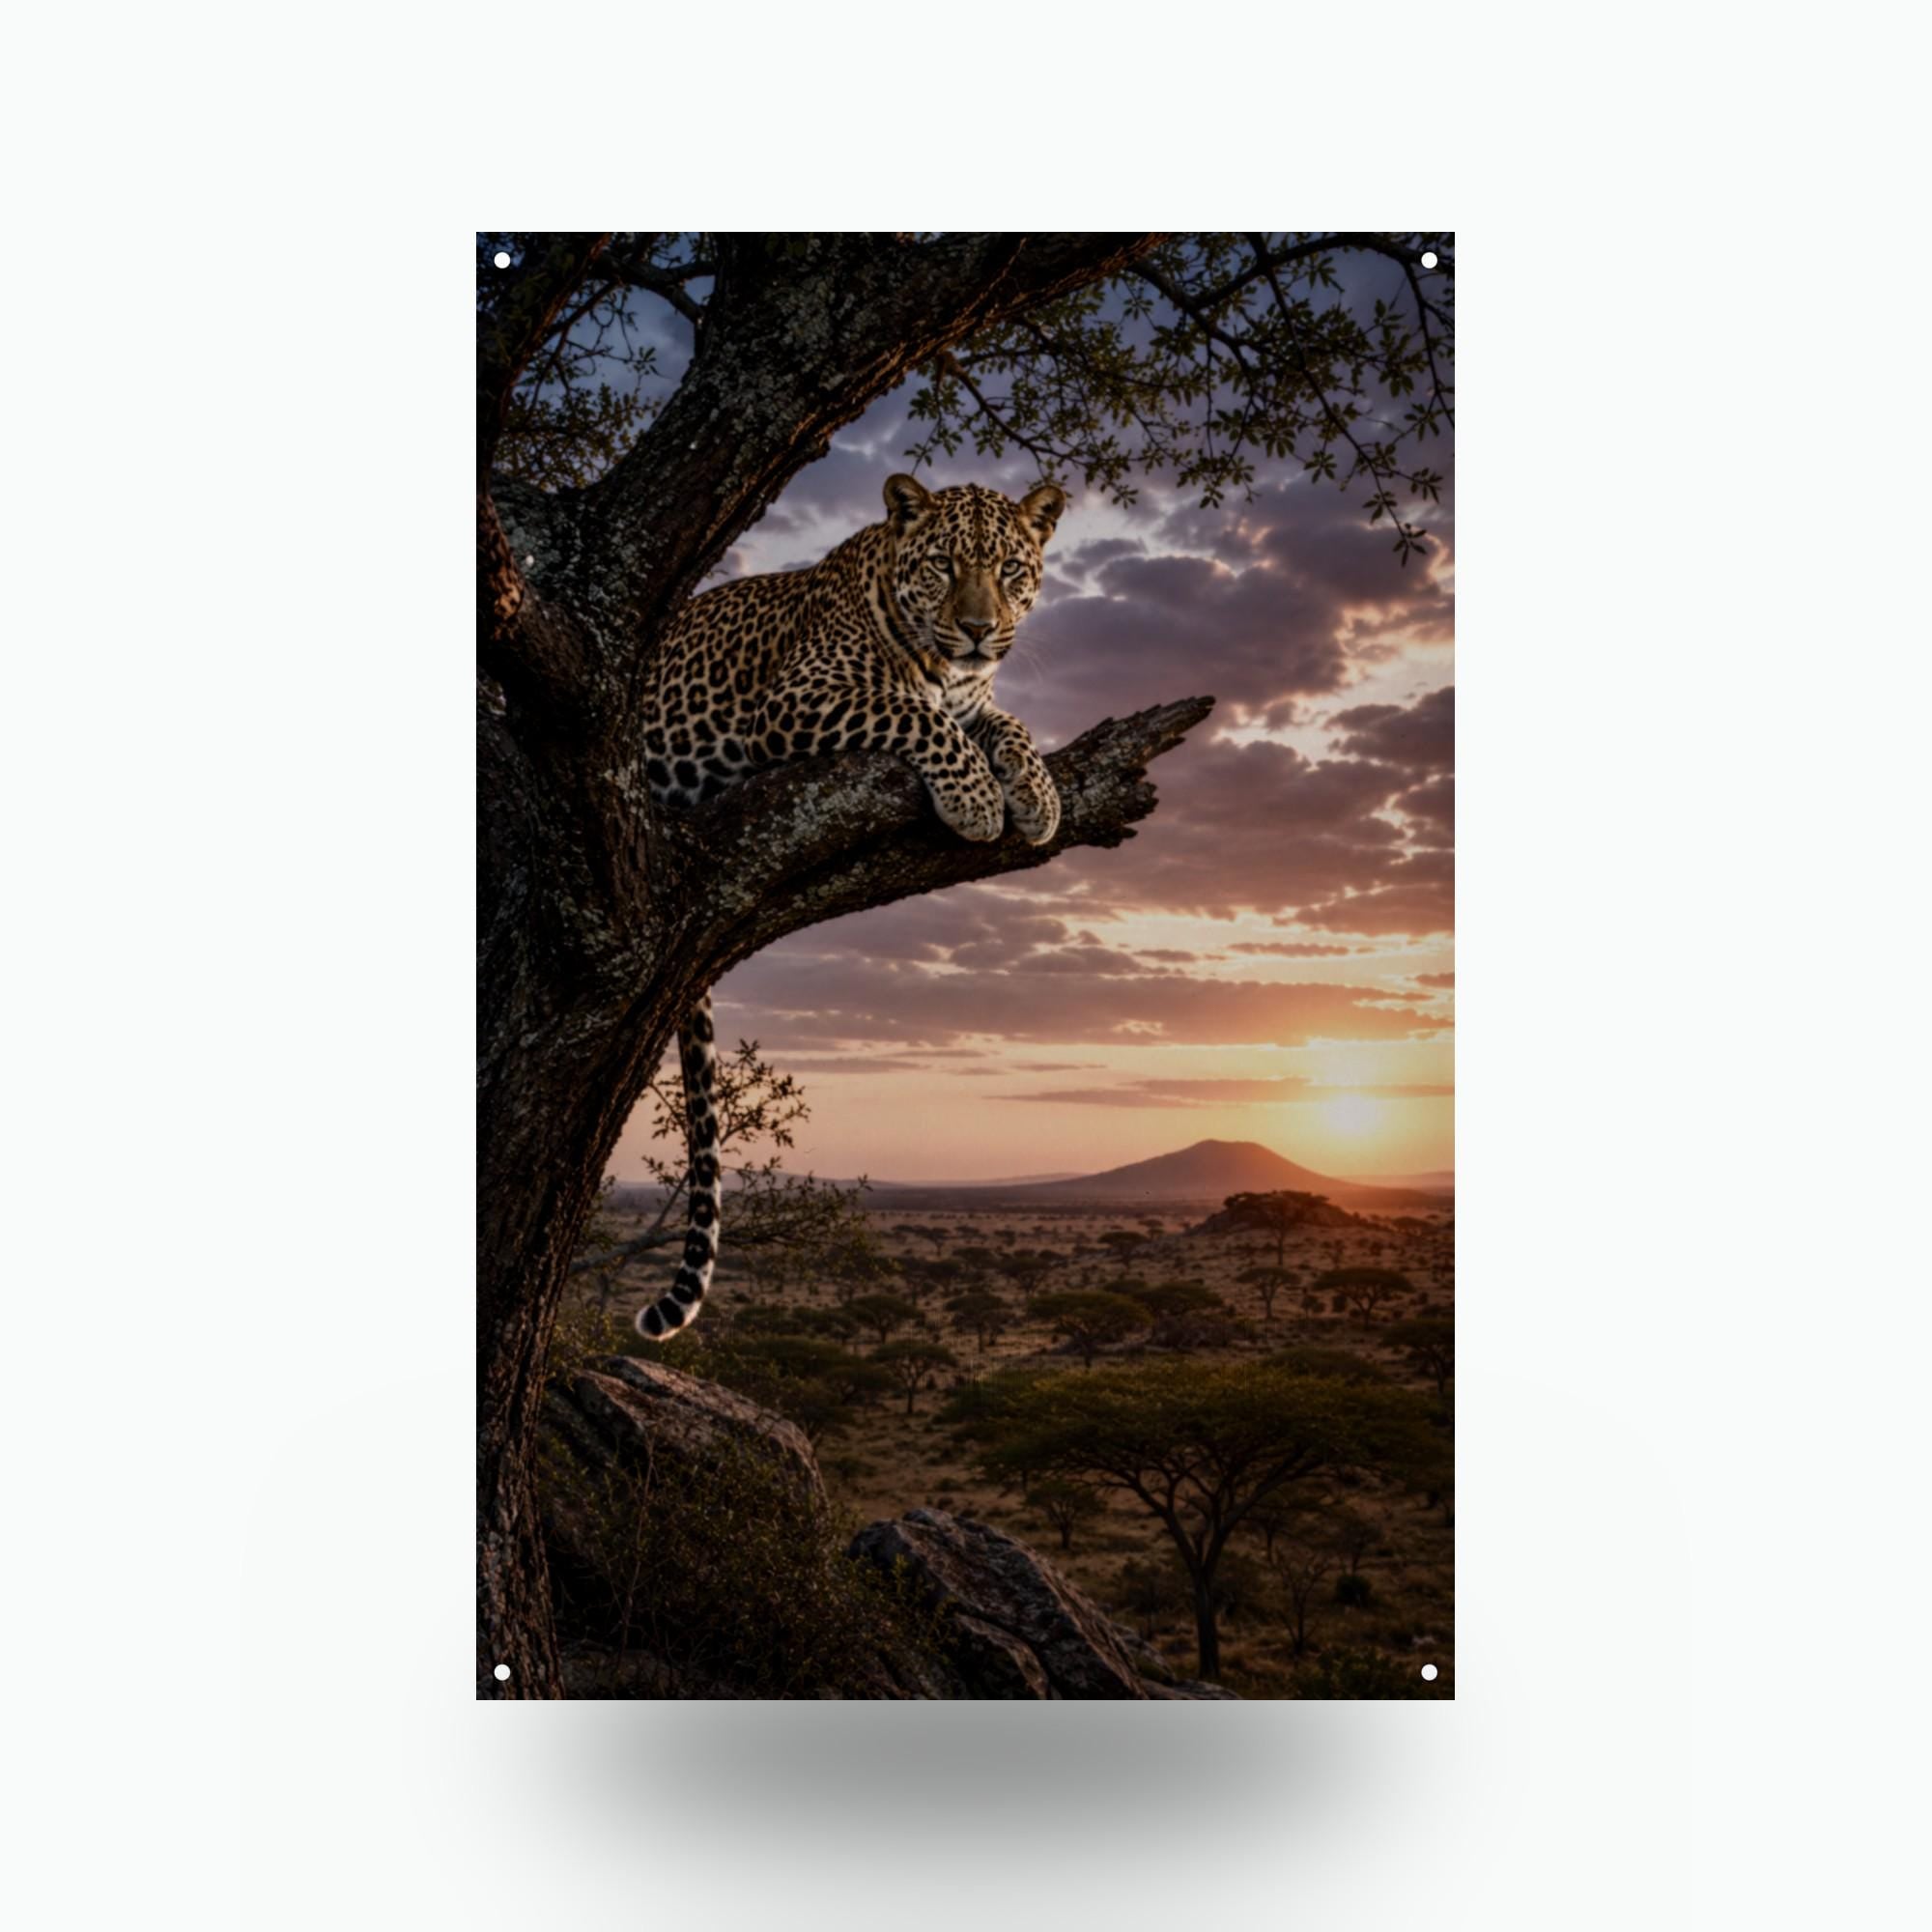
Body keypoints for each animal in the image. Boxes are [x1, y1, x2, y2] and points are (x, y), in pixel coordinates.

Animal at [633, 474, 1068, 1341]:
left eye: (1010, 569)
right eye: (943, 565)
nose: (979, 630)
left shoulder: (979, 700)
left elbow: (1010, 722)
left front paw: (1038, 797)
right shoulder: (801, 700)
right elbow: (916, 714)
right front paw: (977, 801)